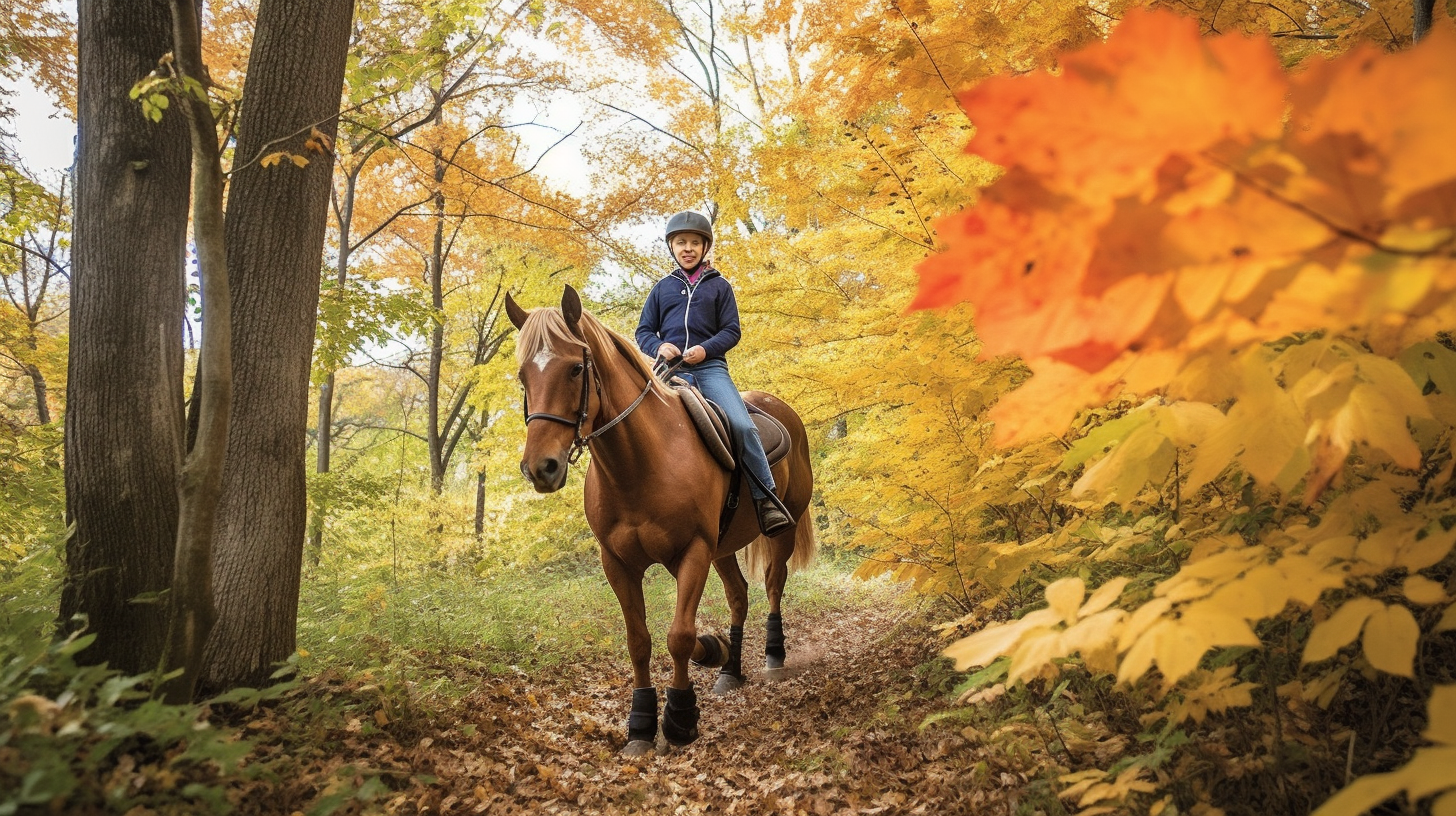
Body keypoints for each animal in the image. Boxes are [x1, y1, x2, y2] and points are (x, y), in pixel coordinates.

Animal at [506, 284, 815, 757]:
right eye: (524, 376)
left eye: (575, 368)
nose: (541, 468)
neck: (640, 464)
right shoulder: (619, 564)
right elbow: (640, 642)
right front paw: (641, 723)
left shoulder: (693, 552)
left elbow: (680, 636)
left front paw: (680, 719)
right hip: (723, 547)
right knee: (739, 595)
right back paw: (730, 669)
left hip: (782, 530)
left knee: (773, 585)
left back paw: (773, 657)